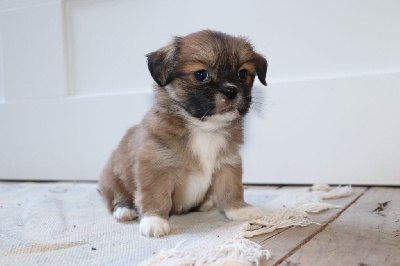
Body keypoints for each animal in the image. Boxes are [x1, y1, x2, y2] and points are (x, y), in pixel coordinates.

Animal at [99, 29, 268, 237]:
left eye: (242, 73)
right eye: (201, 74)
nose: (230, 90)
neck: (204, 129)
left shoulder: (227, 165)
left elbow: (232, 190)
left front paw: (240, 210)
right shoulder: (155, 167)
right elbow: (156, 195)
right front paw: (154, 220)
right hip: (111, 178)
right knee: (117, 198)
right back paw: (125, 210)